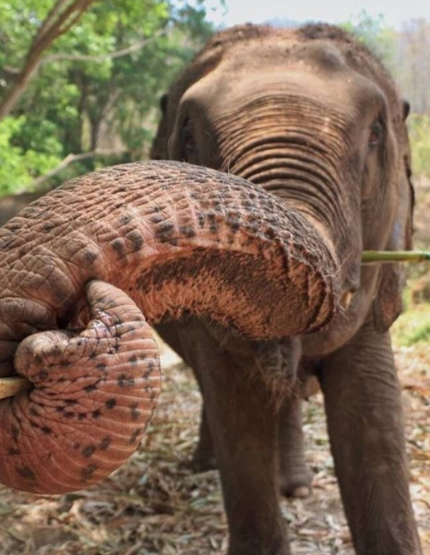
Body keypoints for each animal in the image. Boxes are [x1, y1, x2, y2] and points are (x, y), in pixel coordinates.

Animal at [149, 21, 424, 555]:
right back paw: (208, 465)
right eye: (188, 137)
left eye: (375, 133)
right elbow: (235, 408)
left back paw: (295, 487)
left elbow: (371, 412)